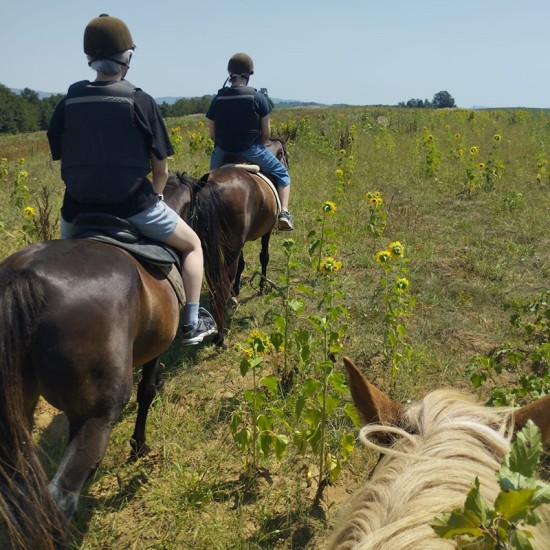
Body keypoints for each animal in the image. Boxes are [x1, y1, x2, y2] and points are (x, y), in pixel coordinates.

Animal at [0, 178, 194, 550]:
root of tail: (26, 276)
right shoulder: (154, 351)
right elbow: (147, 392)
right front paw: (139, 446)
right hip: (98, 414)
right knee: (60, 498)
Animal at [190, 138, 292, 344]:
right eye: (286, 155)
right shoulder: (265, 231)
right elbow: (264, 256)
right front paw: (261, 287)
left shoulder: (237, 242)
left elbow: (242, 264)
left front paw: (236, 291)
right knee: (222, 280)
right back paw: (221, 334)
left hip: (211, 245)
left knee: (215, 281)